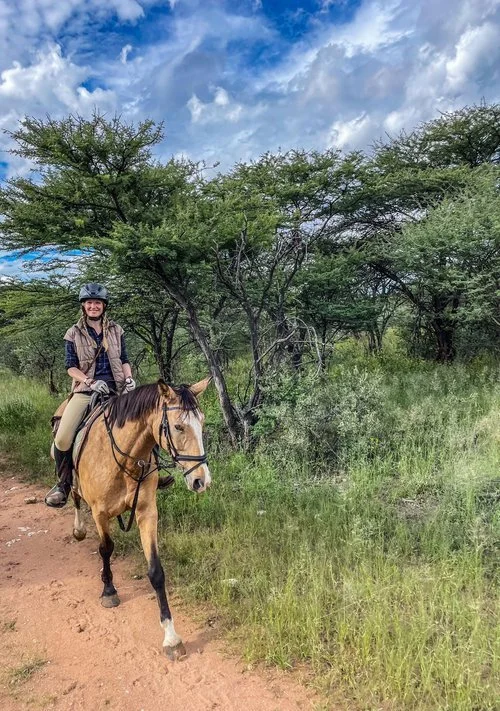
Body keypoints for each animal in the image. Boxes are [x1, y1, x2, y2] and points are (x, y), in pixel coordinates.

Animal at [63, 378, 211, 660]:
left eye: (202, 423)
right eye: (178, 426)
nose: (202, 481)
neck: (124, 460)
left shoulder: (147, 512)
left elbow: (156, 572)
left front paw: (171, 638)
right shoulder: (99, 513)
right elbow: (106, 548)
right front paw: (109, 590)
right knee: (74, 494)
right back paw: (77, 528)